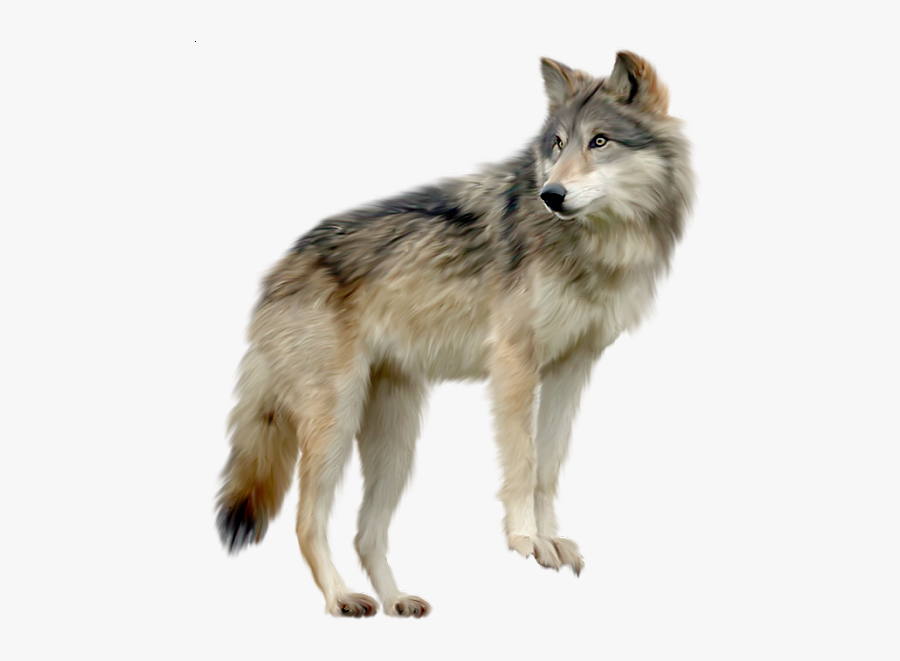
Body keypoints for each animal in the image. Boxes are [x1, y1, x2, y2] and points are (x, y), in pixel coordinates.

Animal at [216, 51, 694, 617]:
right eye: (557, 144)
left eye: (599, 141)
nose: (551, 194)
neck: (597, 244)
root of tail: (279, 269)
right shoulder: (514, 361)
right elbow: (522, 461)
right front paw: (526, 540)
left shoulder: (571, 367)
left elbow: (547, 466)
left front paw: (551, 540)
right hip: (335, 422)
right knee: (307, 521)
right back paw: (342, 599)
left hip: (396, 442)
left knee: (365, 534)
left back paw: (397, 600)